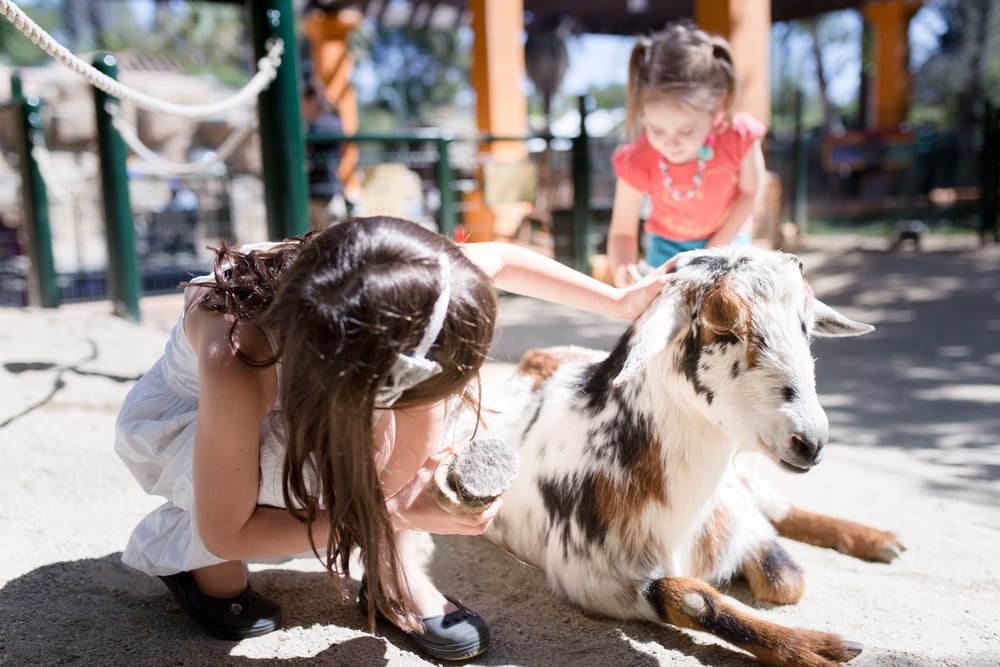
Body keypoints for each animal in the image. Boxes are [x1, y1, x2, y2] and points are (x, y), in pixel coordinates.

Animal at [472, 247, 904, 667]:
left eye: (807, 326)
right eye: (722, 324)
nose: (810, 441)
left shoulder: (740, 522)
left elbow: (785, 578)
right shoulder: (589, 581)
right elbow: (693, 597)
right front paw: (812, 648)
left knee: (780, 507)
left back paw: (881, 540)